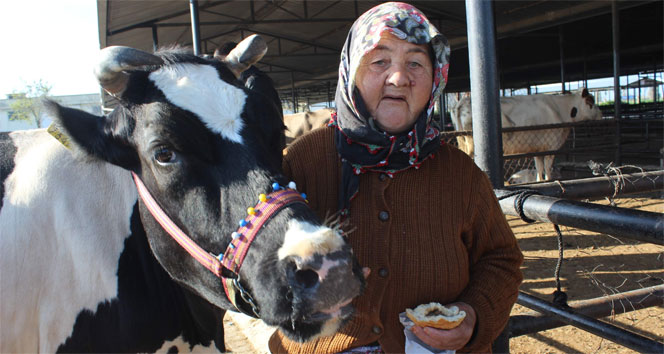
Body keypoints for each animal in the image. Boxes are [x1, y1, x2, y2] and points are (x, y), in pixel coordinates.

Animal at [452, 88, 600, 181]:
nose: (601, 113)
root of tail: (462, 102)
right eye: (590, 102)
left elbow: (539, 168)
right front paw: (549, 180)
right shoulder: (550, 147)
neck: (559, 110)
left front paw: (540, 181)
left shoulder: (537, 149)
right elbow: (547, 167)